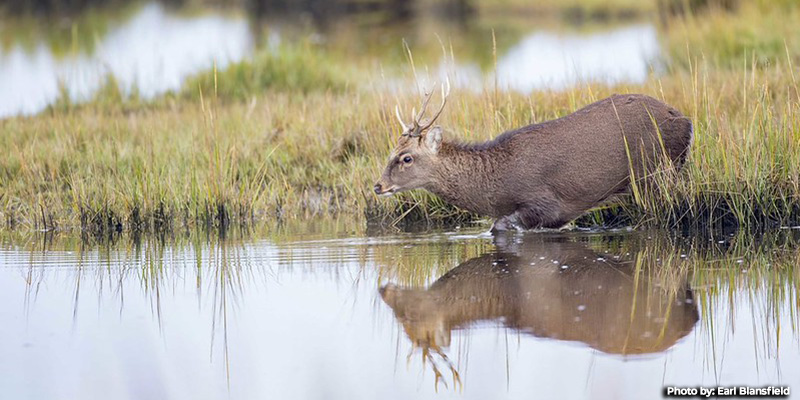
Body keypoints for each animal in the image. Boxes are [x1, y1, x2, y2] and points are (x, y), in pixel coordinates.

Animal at [374, 82, 694, 231]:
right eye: (391, 151)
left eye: (406, 158)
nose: (378, 185)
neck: (500, 185)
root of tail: (686, 121)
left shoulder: (545, 203)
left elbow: (499, 227)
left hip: (657, 171)